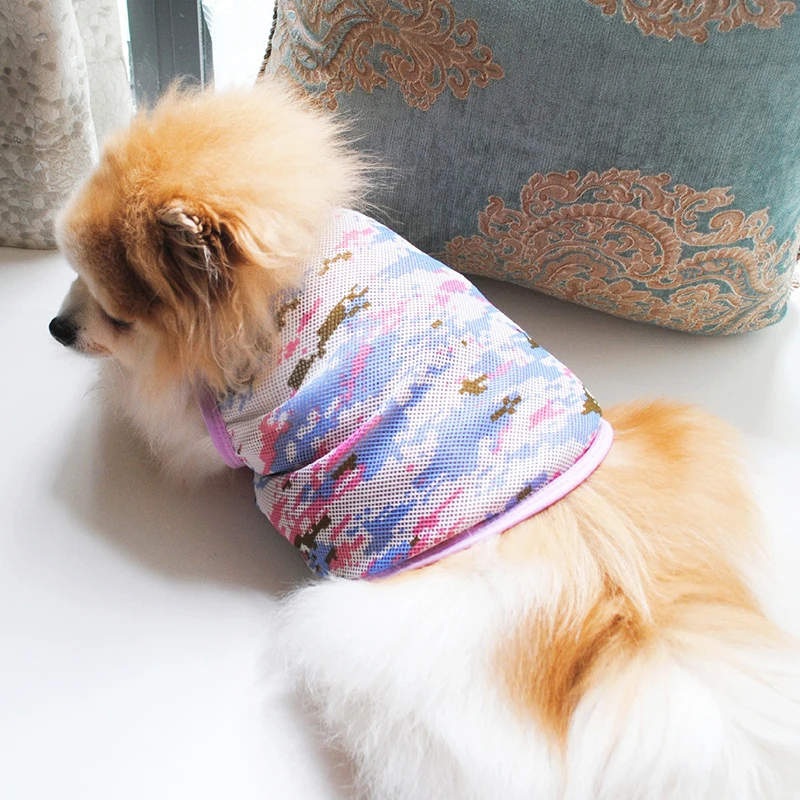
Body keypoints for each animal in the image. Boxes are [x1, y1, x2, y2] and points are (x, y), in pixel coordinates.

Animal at [51, 83, 800, 799]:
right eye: (72, 276)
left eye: (116, 317)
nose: (58, 327)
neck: (293, 271)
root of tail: (618, 595)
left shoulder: (220, 420)